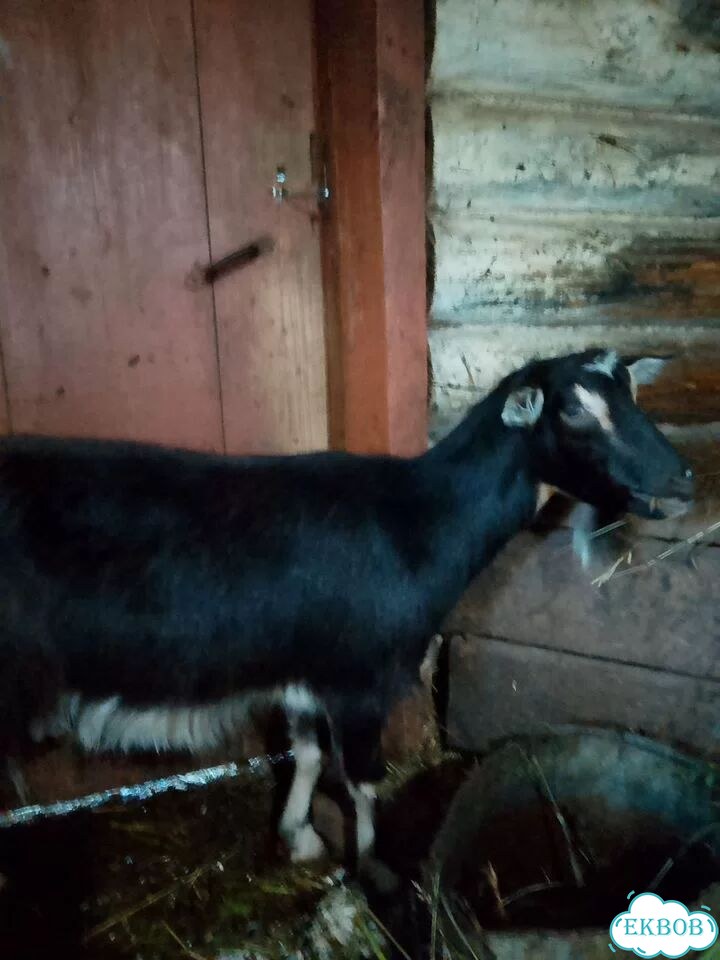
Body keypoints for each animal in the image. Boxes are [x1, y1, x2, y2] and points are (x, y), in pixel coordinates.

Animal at [0, 349, 694, 881]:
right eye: (573, 410)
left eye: (634, 391)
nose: (684, 479)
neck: (419, 521)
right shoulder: (359, 678)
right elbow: (364, 779)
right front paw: (372, 865)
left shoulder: (309, 668)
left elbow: (307, 755)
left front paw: (300, 836)